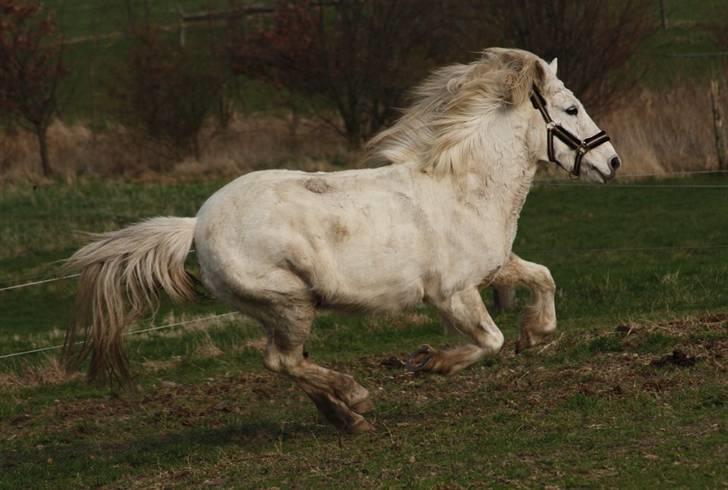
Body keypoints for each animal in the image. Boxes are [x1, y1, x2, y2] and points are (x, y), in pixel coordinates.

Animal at [64, 47, 620, 432]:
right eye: (571, 109)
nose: (612, 162)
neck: (462, 186)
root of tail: (195, 225)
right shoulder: (451, 294)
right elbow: (489, 341)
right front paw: (430, 363)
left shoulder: (493, 267)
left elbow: (542, 279)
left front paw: (536, 335)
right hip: (289, 302)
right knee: (282, 360)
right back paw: (355, 399)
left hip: (277, 309)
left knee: (288, 362)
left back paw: (345, 418)